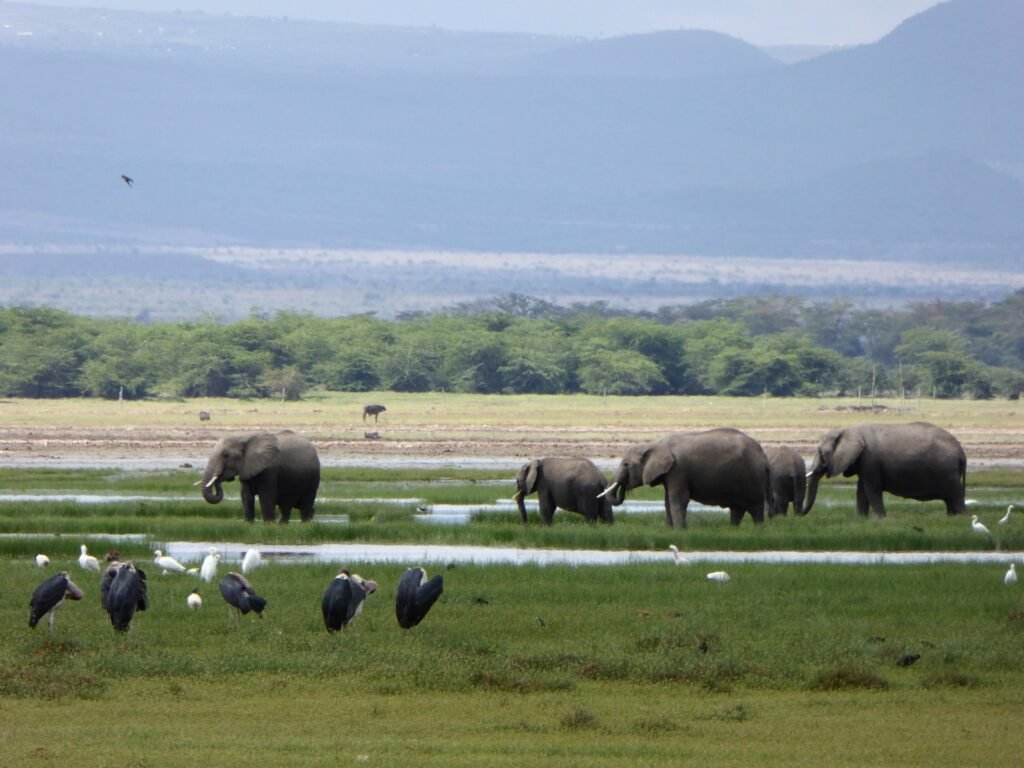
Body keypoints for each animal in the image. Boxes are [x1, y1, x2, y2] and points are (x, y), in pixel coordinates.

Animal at [603, 428, 770, 528]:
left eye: (626, 464)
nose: (623, 487)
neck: (655, 444)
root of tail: (763, 455)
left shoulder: (678, 470)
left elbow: (678, 499)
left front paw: (679, 530)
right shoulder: (670, 473)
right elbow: (667, 501)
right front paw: (669, 529)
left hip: (752, 478)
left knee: (755, 508)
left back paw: (759, 529)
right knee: (737, 510)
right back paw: (733, 529)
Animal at [803, 422, 966, 517]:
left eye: (820, 452)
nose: (800, 514)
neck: (847, 430)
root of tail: (961, 452)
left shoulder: (870, 460)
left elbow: (871, 490)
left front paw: (881, 519)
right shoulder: (865, 463)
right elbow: (861, 491)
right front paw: (861, 519)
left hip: (948, 472)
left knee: (956, 496)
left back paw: (962, 518)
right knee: (950, 499)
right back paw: (952, 518)